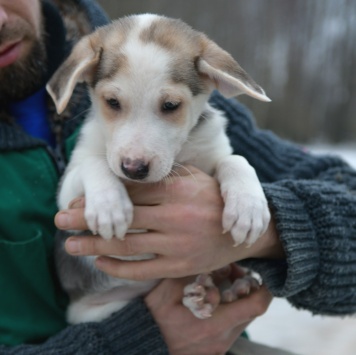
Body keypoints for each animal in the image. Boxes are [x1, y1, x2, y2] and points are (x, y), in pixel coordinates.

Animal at [46, 14, 270, 326]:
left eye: (171, 105)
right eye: (112, 102)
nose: (133, 168)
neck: (179, 155)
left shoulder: (214, 149)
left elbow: (236, 160)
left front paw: (249, 209)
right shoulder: (67, 196)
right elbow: (95, 162)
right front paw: (109, 206)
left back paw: (227, 289)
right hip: (98, 310)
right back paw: (205, 295)